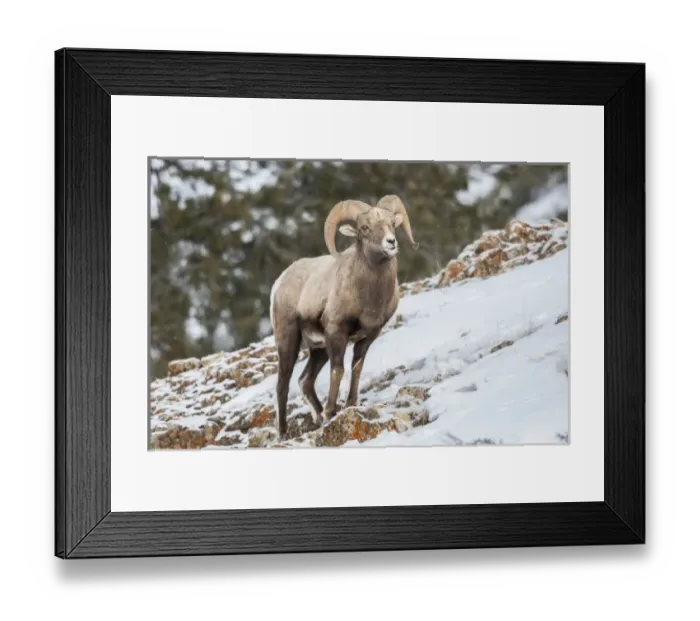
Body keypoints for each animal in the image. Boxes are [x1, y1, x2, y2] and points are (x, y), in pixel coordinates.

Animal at [269, 194, 419, 437]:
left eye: (391, 223)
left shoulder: (367, 336)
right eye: (365, 228)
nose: (390, 242)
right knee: (283, 384)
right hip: (289, 341)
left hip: (318, 350)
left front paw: (350, 404)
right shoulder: (336, 333)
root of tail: (280, 282)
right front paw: (332, 411)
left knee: (305, 381)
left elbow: (356, 368)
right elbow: (338, 370)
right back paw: (284, 432)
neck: (369, 296)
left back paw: (319, 417)